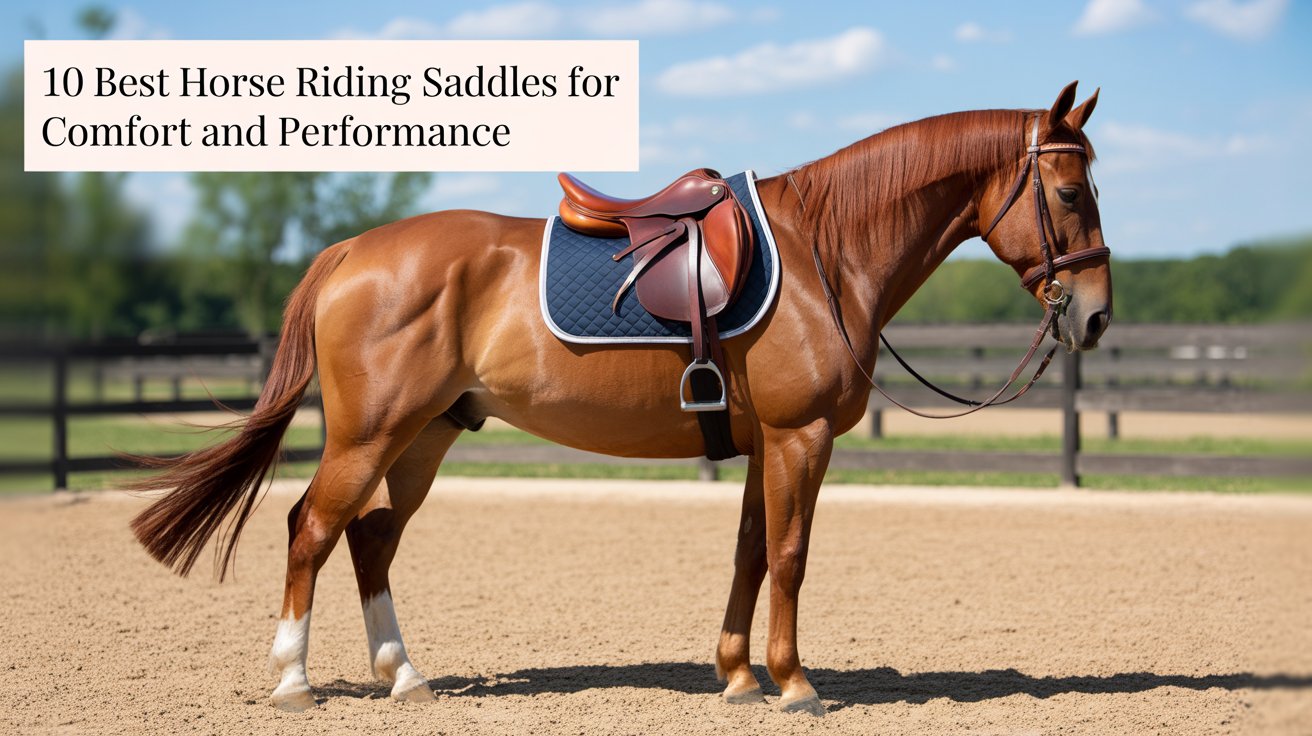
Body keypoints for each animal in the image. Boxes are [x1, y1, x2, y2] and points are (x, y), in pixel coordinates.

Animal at [129, 81, 1112, 716]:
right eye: (1070, 190)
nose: (1096, 315)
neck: (824, 252)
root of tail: (350, 252)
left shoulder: (763, 445)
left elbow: (749, 555)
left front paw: (738, 676)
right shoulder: (800, 437)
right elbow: (790, 555)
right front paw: (795, 684)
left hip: (423, 439)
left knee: (370, 539)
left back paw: (403, 676)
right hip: (370, 436)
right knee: (312, 529)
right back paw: (294, 681)